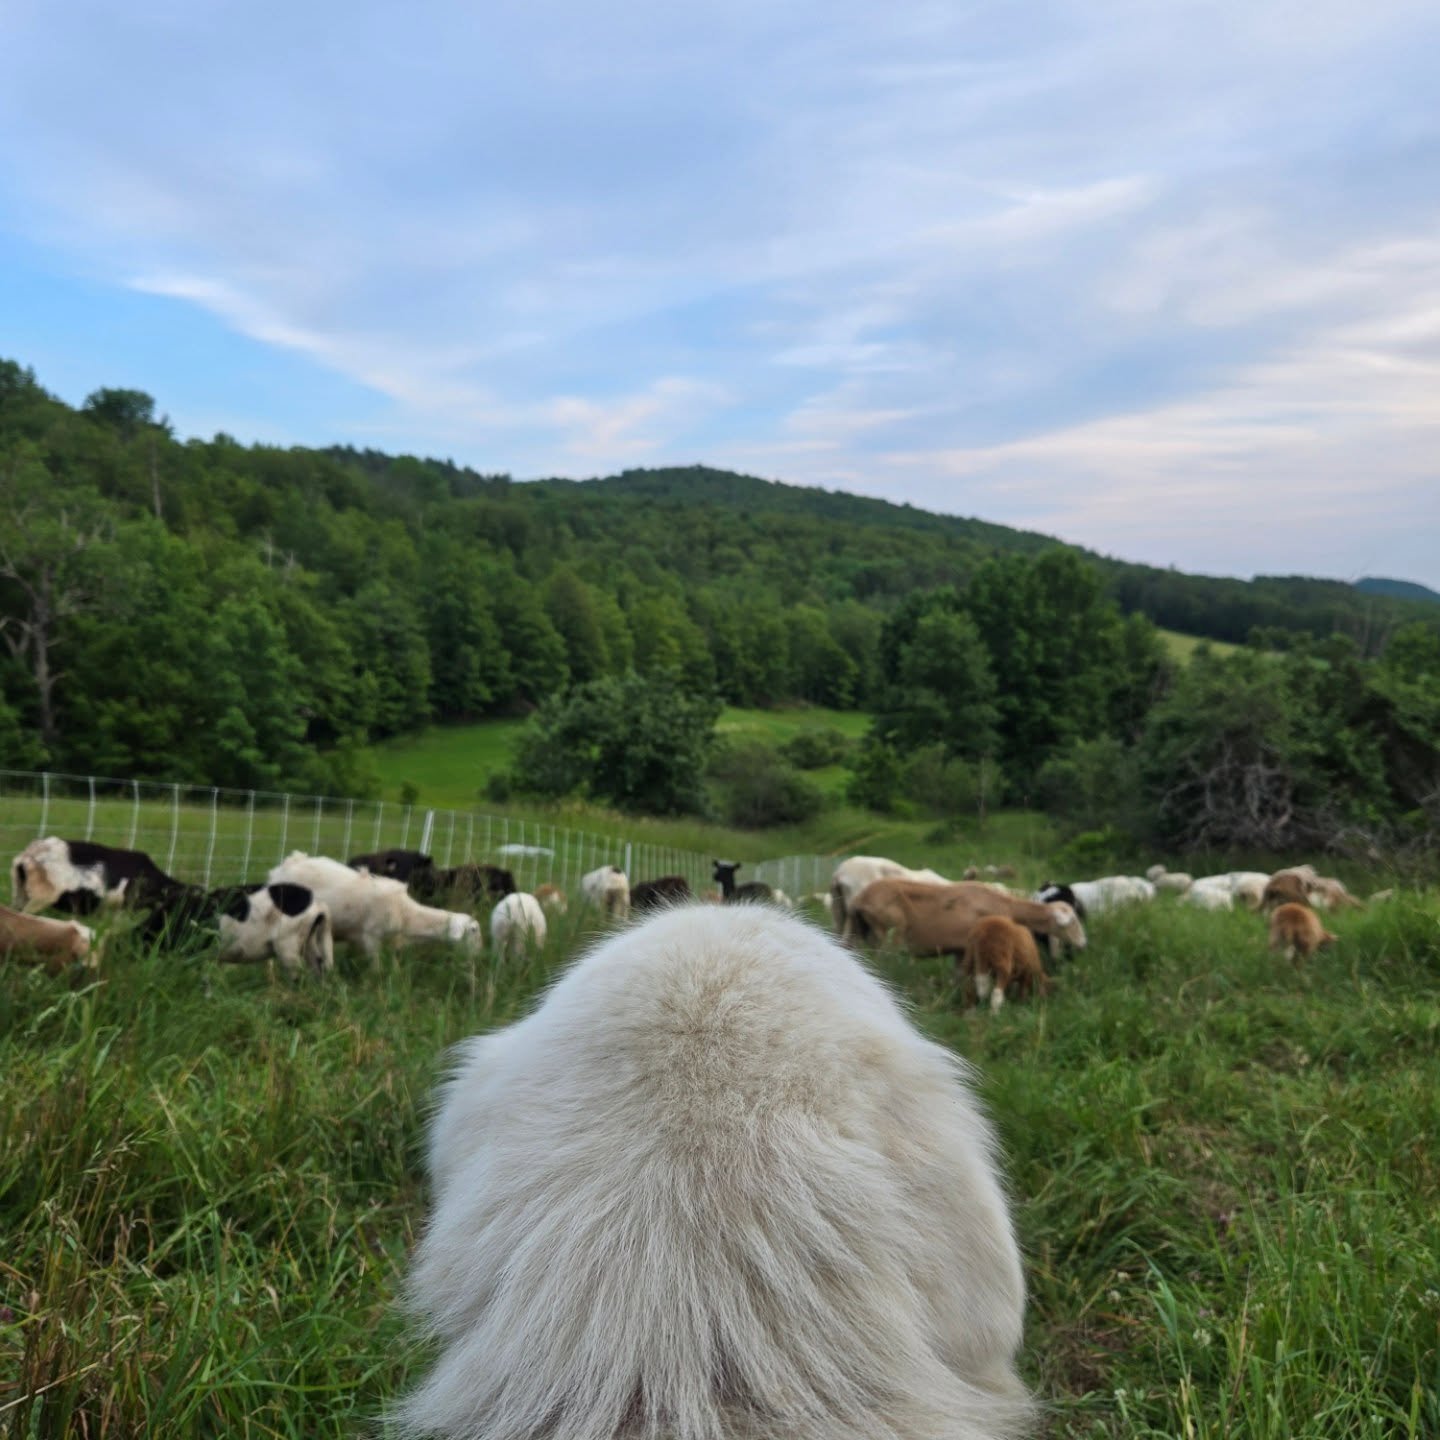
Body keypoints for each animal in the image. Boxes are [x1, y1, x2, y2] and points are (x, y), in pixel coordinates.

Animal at [267, 853, 480, 959]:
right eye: (474, 931)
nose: (479, 955)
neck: (406, 914)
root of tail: (287, 864)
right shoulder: (371, 937)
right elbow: (376, 969)